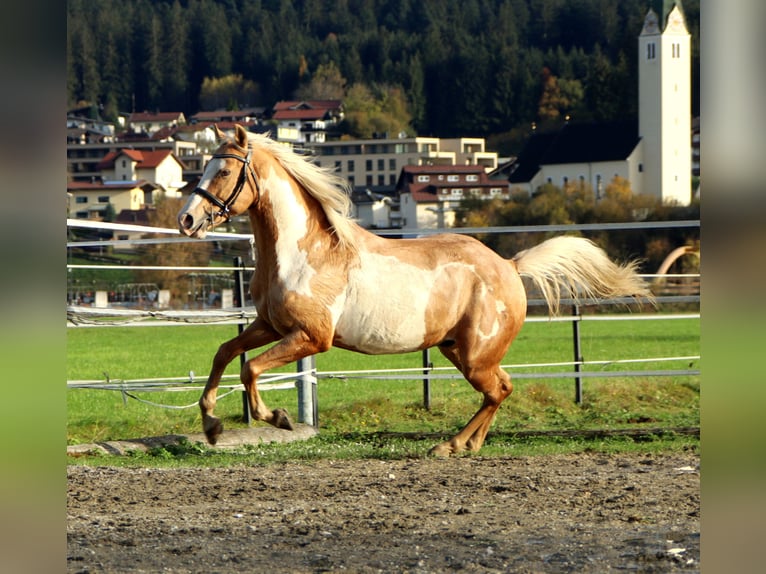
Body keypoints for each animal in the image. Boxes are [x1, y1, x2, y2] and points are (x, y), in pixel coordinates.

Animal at [178, 124, 651, 456]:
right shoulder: (271, 326)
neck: (304, 252)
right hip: (458, 350)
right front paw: (212, 426)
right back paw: (467, 444)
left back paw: (450, 445)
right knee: (501, 387)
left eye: (223, 170)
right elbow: (225, 352)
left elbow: (251, 370)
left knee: (497, 390)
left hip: (475, 355)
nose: (187, 220)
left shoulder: (312, 337)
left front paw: (275, 417)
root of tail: (510, 266)